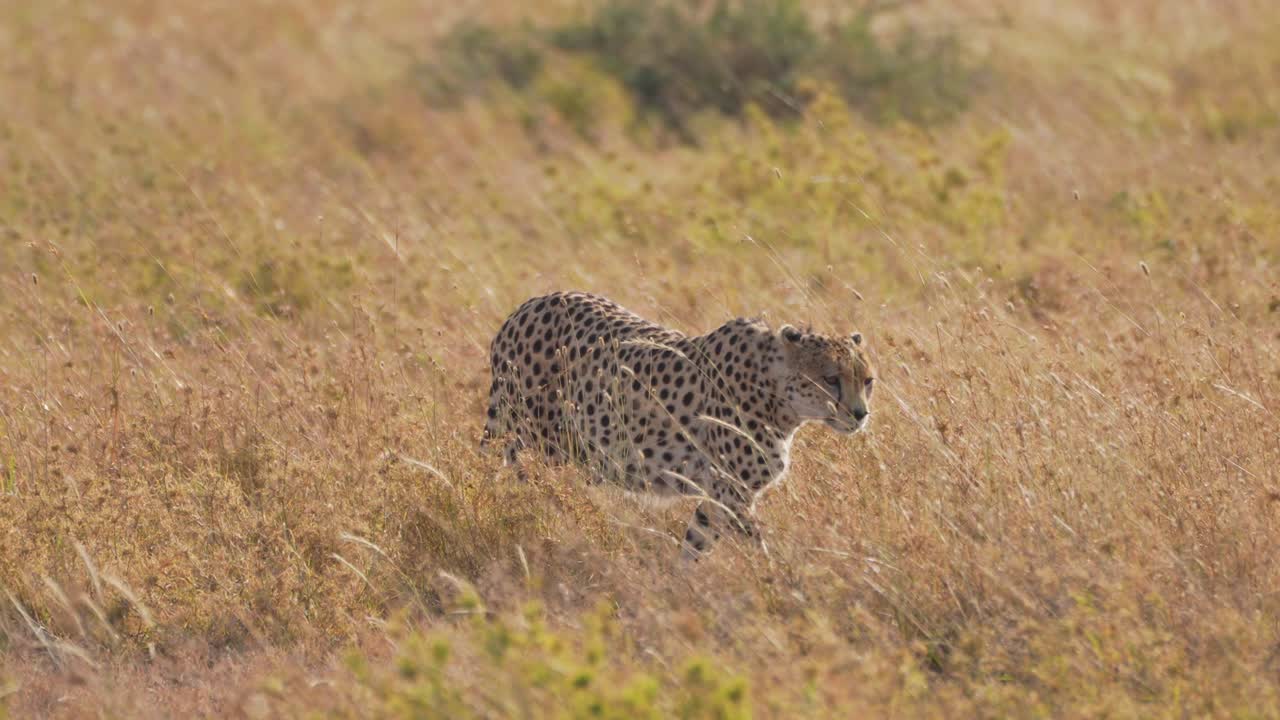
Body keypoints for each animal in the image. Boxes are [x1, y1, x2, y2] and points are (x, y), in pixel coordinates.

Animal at [481, 291, 875, 559]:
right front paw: (783, 584)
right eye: (830, 379)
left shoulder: (718, 495)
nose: (860, 414)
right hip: (538, 446)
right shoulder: (731, 492)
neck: (776, 392)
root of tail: (531, 304)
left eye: (867, 380)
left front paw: (681, 584)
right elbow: (758, 547)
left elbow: (695, 545)